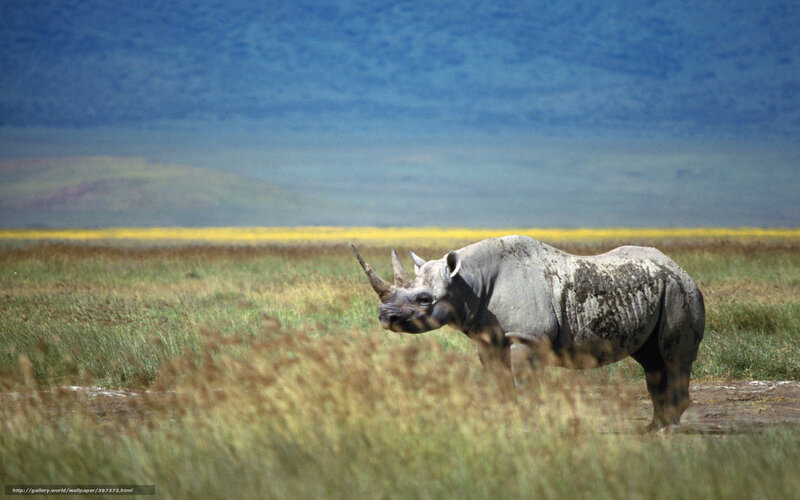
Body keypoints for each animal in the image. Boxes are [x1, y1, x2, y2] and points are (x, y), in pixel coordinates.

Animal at [352, 235, 705, 431]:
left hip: (681, 291)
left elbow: (525, 385)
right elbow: (499, 383)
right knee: (651, 361)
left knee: (673, 358)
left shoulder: (526, 337)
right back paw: (652, 428)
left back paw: (667, 431)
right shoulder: (488, 338)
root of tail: (681, 269)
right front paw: (504, 423)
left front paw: (528, 425)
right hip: (662, 289)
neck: (468, 282)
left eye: (425, 299)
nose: (386, 317)